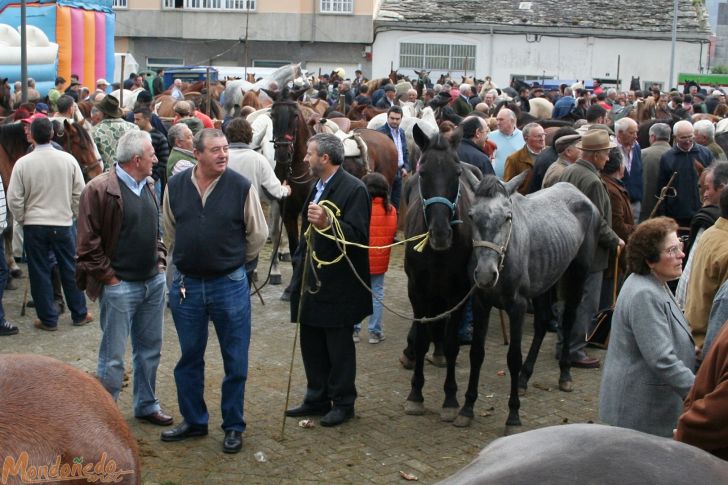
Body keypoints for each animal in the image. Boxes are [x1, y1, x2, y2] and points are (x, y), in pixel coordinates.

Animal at [400, 123, 486, 426]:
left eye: (456, 173)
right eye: (424, 172)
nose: (440, 233)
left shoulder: (458, 292)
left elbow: (451, 344)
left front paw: (450, 399)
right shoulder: (417, 289)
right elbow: (422, 337)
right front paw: (415, 394)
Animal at [470, 175, 600, 432]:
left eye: (507, 217)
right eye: (471, 216)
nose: (486, 275)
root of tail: (578, 193)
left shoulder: (518, 307)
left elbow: (513, 358)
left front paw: (513, 415)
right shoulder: (481, 303)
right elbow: (476, 353)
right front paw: (466, 409)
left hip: (577, 273)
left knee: (568, 320)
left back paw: (565, 374)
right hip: (546, 279)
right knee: (541, 324)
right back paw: (524, 378)